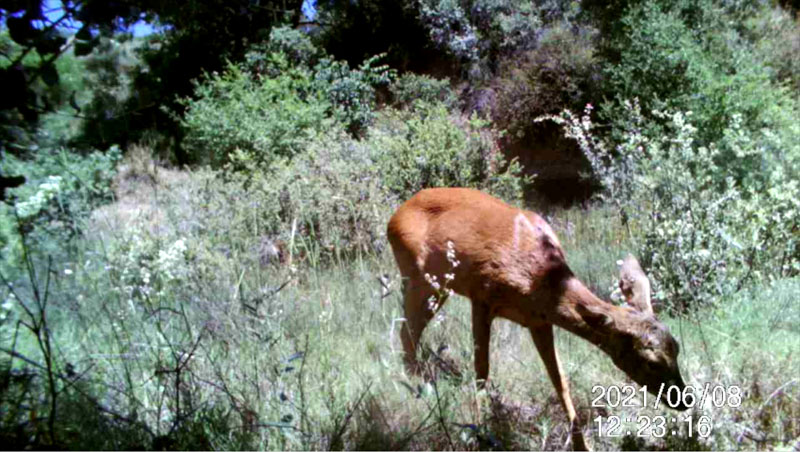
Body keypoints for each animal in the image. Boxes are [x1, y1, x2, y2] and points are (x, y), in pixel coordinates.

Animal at [388, 187, 688, 448]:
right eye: (650, 362)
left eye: (677, 348)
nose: (684, 400)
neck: (539, 277)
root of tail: (395, 216)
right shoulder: (482, 297)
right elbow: (482, 370)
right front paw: (481, 432)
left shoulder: (540, 320)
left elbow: (561, 382)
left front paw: (582, 446)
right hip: (417, 277)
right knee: (407, 330)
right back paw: (415, 384)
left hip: (437, 287)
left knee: (410, 330)